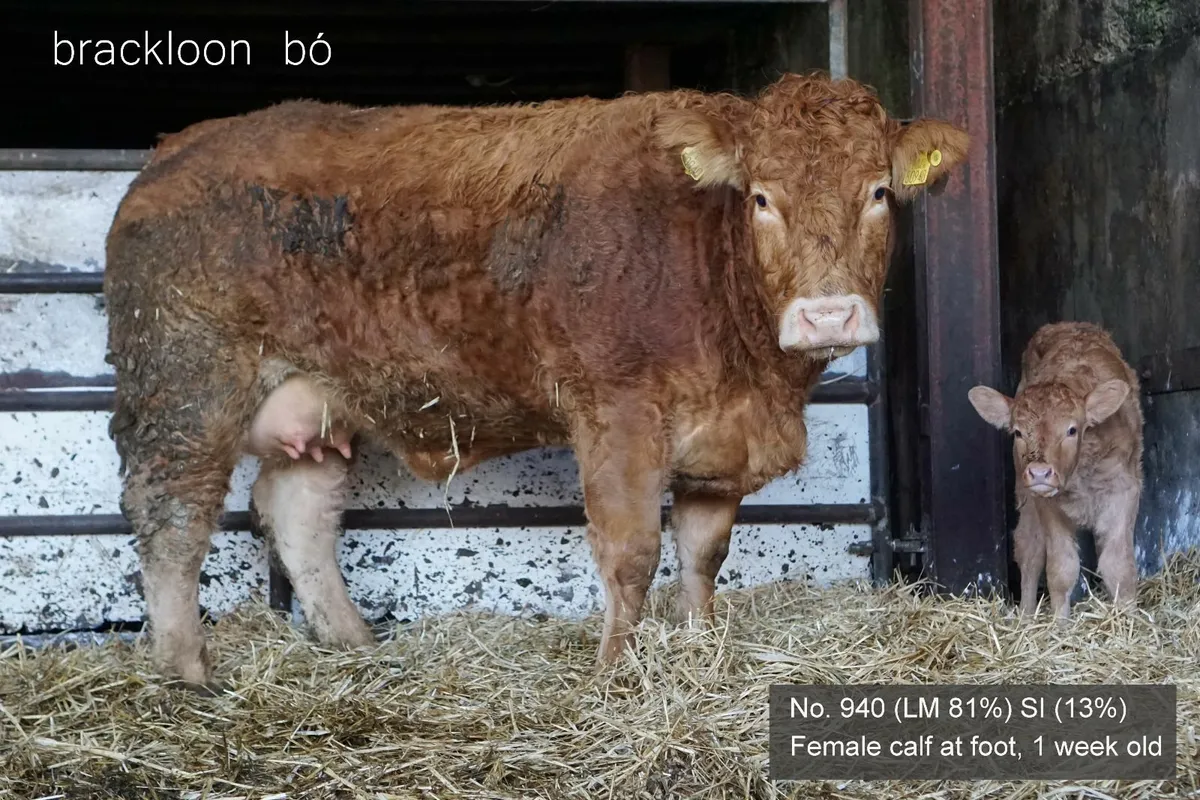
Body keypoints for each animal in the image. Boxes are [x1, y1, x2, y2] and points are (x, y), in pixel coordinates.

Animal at [102, 71, 970, 690]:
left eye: (878, 192)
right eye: (762, 197)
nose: (828, 315)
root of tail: (178, 150)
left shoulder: (718, 444)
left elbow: (702, 555)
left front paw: (701, 649)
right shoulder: (617, 413)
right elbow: (631, 553)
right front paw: (615, 675)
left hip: (317, 402)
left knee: (296, 512)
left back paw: (354, 644)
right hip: (187, 383)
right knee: (172, 516)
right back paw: (186, 671)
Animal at [967, 321, 1143, 622]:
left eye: (1072, 430)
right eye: (1018, 432)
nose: (1039, 472)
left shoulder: (1125, 491)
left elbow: (1118, 567)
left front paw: (1128, 621)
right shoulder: (1046, 503)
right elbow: (1061, 569)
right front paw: (1061, 624)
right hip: (1024, 493)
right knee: (1029, 549)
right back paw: (1026, 617)